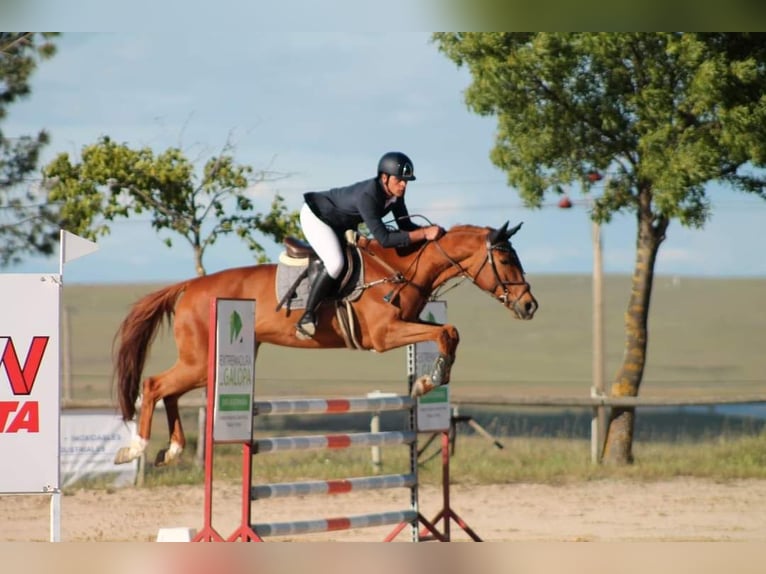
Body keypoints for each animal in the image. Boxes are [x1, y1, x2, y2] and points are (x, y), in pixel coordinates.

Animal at [112, 222, 540, 468]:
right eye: (506, 260)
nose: (529, 305)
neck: (400, 266)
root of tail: (189, 285)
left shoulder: (406, 323)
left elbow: (448, 331)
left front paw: (429, 378)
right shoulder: (385, 335)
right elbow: (446, 332)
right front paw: (428, 380)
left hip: (204, 365)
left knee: (168, 391)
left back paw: (172, 450)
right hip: (202, 360)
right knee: (153, 385)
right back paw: (137, 449)